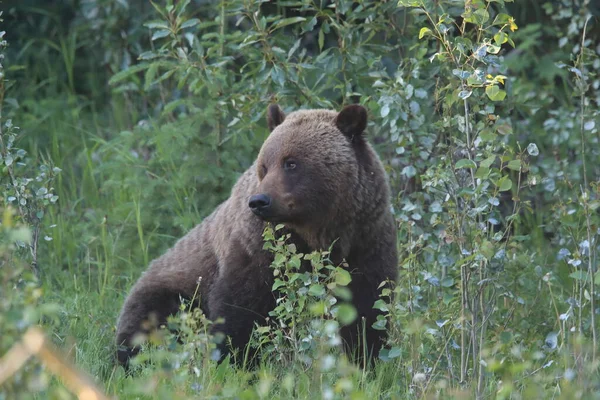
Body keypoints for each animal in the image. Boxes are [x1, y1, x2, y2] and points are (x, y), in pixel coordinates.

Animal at [116, 104, 398, 368]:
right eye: (264, 165)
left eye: (291, 162)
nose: (259, 201)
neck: (319, 232)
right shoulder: (258, 249)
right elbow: (241, 309)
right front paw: (234, 359)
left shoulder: (366, 240)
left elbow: (367, 307)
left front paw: (367, 357)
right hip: (170, 291)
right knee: (151, 323)